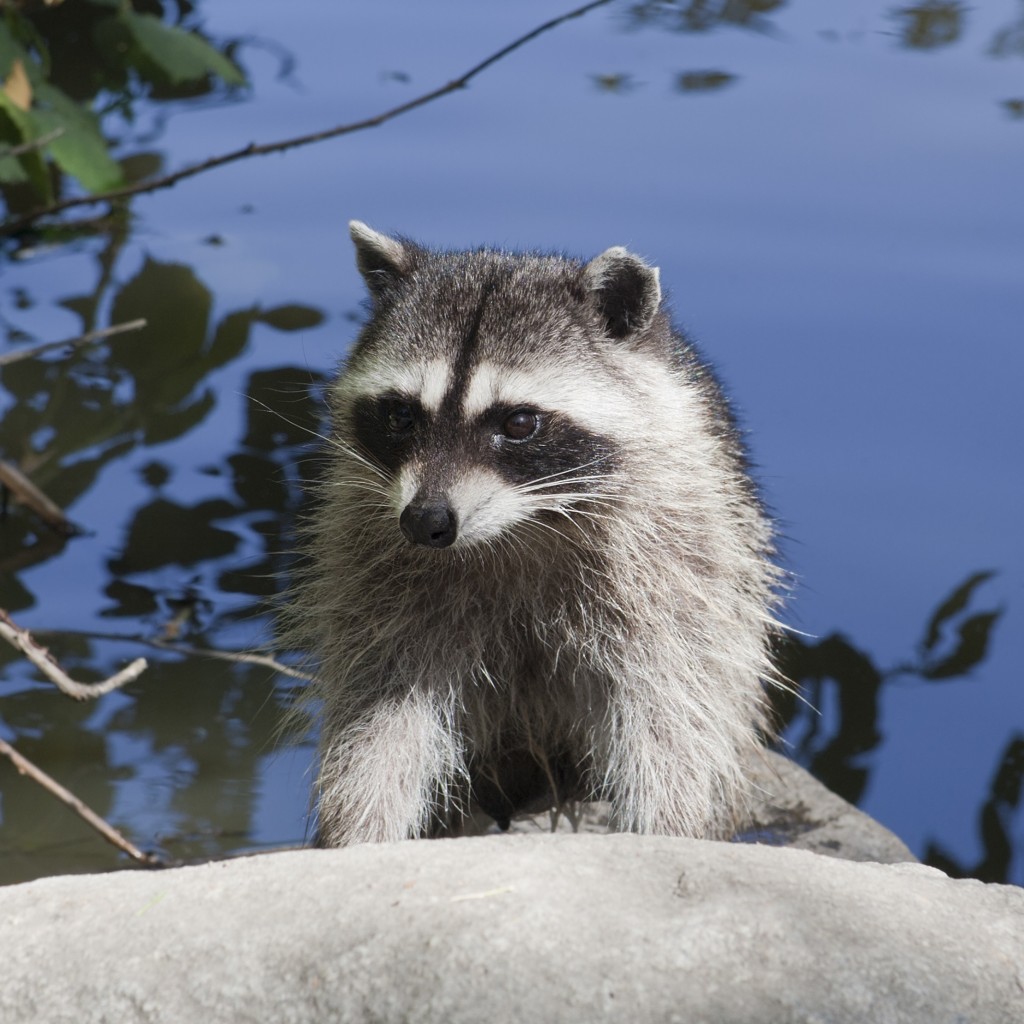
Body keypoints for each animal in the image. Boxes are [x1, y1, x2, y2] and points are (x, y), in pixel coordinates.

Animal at [286, 221, 783, 846]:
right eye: (401, 415)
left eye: (519, 423)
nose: (426, 521)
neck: (519, 526)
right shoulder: (370, 559)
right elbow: (379, 710)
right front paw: (358, 833)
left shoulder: (677, 558)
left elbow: (671, 714)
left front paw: (666, 828)